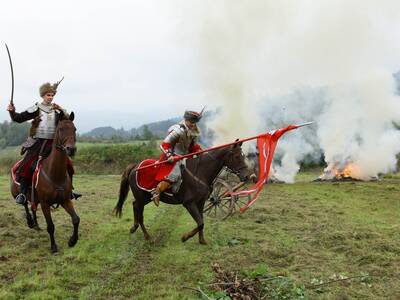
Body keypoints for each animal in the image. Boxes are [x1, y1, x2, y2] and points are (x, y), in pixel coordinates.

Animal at [10, 113, 79, 253]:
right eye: (60, 129)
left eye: (74, 129)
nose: (71, 149)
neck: (55, 174)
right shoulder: (45, 204)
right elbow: (51, 226)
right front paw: (53, 247)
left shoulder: (65, 200)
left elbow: (75, 219)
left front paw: (72, 241)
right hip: (19, 194)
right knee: (25, 204)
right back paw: (30, 222)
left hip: (35, 198)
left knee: (32, 207)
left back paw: (35, 224)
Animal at [114, 143, 250, 244]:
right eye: (237, 156)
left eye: (243, 156)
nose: (247, 176)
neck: (200, 172)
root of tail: (135, 166)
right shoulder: (189, 203)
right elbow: (200, 222)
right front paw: (185, 237)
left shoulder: (200, 203)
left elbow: (201, 221)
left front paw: (202, 240)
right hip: (142, 198)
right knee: (139, 211)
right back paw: (147, 236)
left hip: (146, 197)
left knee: (134, 205)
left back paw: (134, 227)